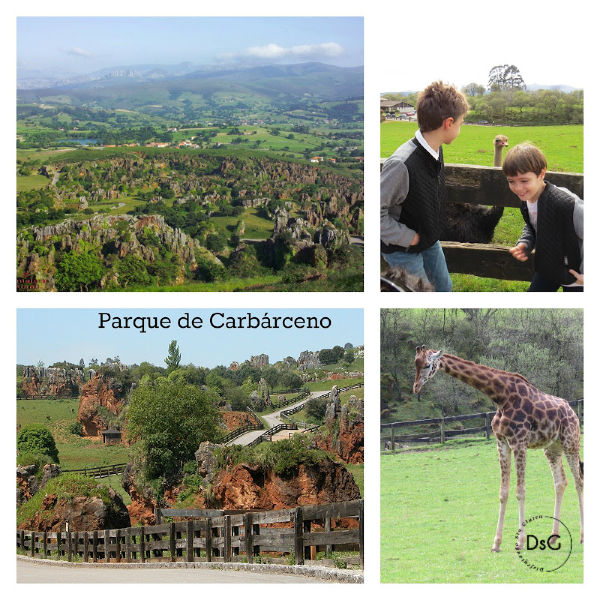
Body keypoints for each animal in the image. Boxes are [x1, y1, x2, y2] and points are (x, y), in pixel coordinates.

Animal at [412, 346, 580, 552]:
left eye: (427, 365)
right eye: (415, 364)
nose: (416, 387)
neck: (501, 397)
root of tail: (573, 412)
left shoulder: (519, 442)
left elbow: (520, 491)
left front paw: (520, 541)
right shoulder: (502, 443)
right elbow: (503, 492)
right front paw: (496, 543)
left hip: (571, 442)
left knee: (579, 480)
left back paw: (582, 537)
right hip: (552, 448)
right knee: (561, 482)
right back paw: (554, 537)